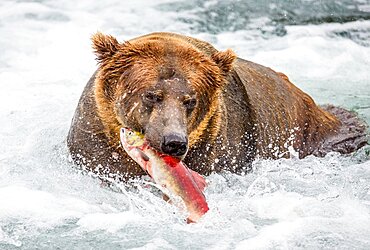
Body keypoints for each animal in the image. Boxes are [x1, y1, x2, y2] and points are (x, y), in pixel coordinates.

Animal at [68, 32, 368, 181]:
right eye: (152, 95)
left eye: (191, 100)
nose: (173, 142)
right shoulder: (94, 137)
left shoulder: (220, 144)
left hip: (309, 133)